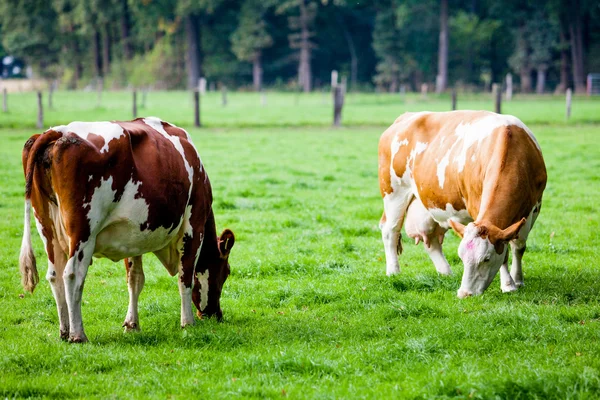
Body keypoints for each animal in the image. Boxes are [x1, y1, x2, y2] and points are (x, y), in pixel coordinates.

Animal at [18, 117, 234, 342]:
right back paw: (78, 334)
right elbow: (186, 277)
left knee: (55, 275)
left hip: (47, 228)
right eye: (226, 271)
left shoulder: (133, 237)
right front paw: (188, 323)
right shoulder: (194, 226)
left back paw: (64, 331)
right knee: (72, 274)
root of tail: (60, 131)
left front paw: (132, 324)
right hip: (83, 231)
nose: (216, 315)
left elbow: (135, 280)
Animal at [380, 111, 548, 298]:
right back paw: (393, 271)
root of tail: (405, 116)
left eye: (486, 259)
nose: (464, 293)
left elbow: (518, 247)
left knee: (430, 239)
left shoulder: (533, 208)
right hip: (394, 193)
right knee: (390, 231)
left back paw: (446, 272)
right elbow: (505, 253)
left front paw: (518, 280)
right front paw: (508, 284)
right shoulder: (476, 205)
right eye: (462, 258)